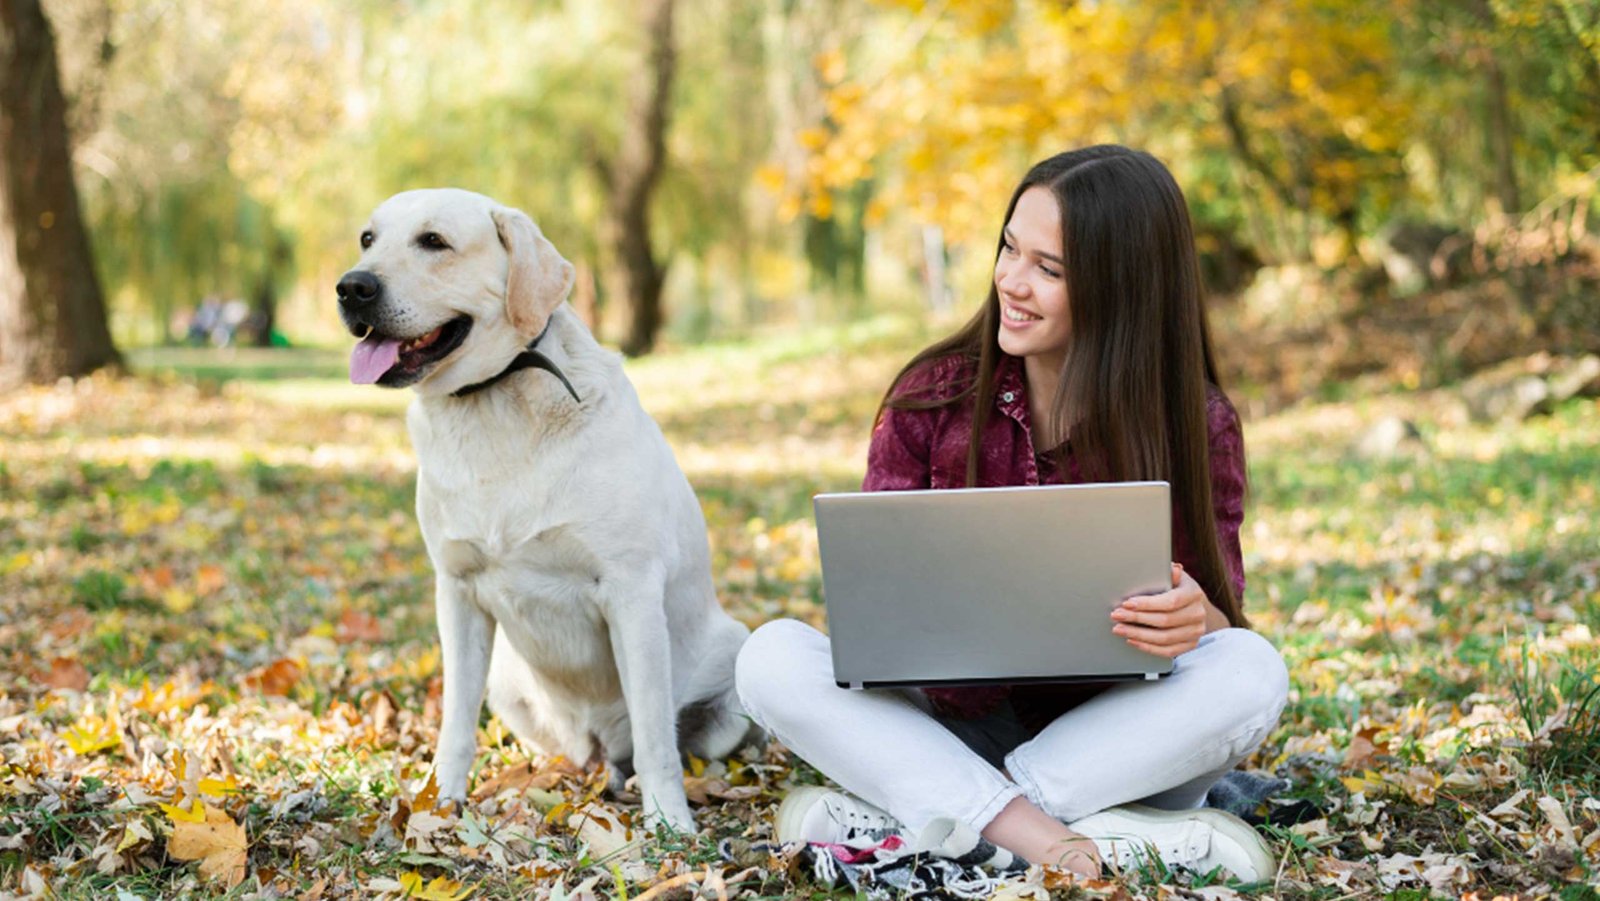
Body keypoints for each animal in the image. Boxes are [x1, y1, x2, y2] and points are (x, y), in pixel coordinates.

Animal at [336, 188, 755, 832]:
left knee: (669, 741)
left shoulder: (631, 590)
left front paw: (669, 822)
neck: (492, 406)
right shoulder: (456, 592)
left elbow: (656, 735)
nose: (351, 287)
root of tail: (599, 745)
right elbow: (455, 722)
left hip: (736, 664)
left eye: (434, 241)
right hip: (509, 683)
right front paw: (441, 802)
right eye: (366, 239)